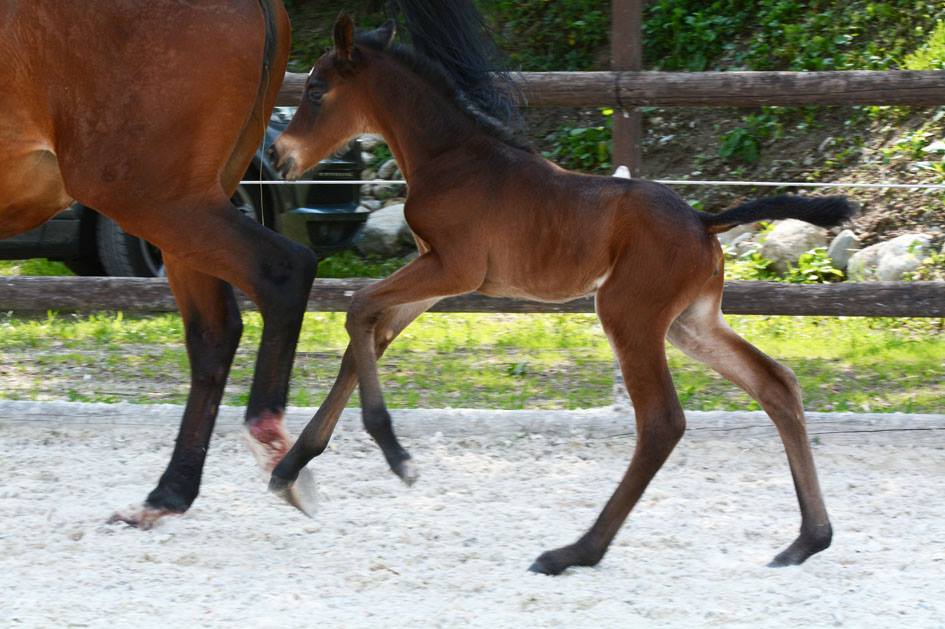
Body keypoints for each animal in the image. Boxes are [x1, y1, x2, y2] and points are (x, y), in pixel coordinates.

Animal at [0, 2, 318, 524]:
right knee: (214, 332)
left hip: (150, 196)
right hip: (186, 206)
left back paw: (272, 445)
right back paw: (170, 493)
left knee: (284, 271)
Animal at [270, 13, 852, 576]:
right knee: (776, 384)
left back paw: (575, 552)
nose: (277, 157)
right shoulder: (437, 276)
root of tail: (703, 220)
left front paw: (396, 456)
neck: (453, 158)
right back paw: (807, 541)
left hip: (628, 315)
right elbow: (367, 336)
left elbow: (357, 308)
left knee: (662, 422)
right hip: (692, 322)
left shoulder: (453, 268)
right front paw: (289, 468)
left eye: (316, 89)